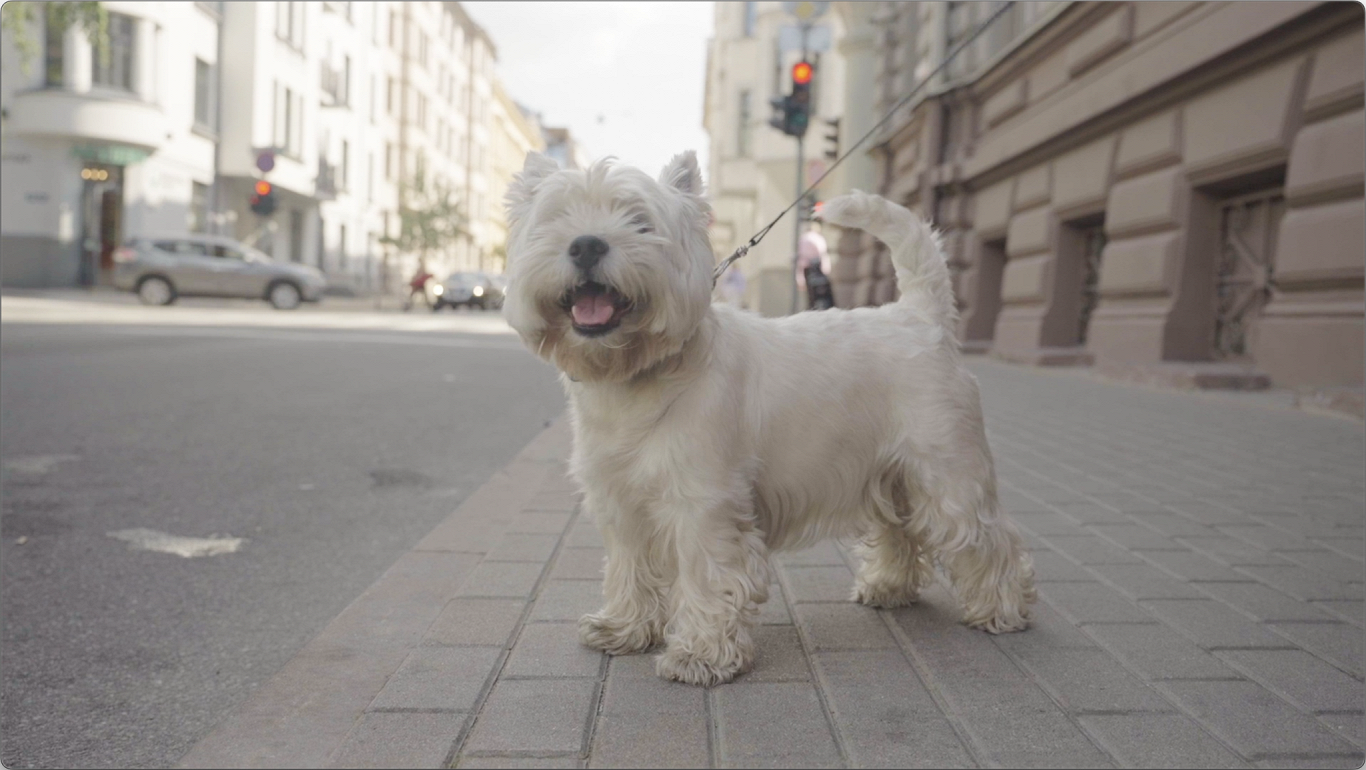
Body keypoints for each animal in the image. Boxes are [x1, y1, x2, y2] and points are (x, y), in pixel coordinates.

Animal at [502, 150, 1032, 685]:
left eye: (640, 222)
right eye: (557, 220)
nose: (586, 244)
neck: (634, 377)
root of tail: (920, 316)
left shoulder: (703, 504)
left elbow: (706, 576)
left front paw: (700, 653)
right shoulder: (619, 501)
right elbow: (629, 568)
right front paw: (624, 626)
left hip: (946, 471)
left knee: (988, 537)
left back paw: (1001, 610)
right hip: (893, 472)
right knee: (900, 529)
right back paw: (888, 586)